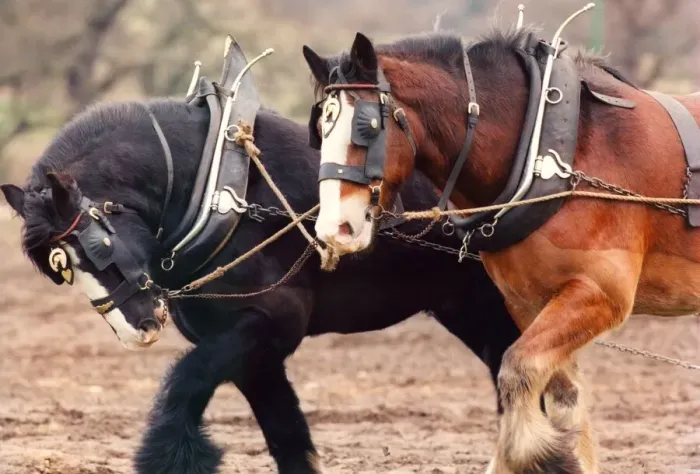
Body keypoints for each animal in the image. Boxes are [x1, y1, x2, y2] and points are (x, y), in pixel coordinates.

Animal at [1, 96, 522, 473]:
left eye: (98, 248)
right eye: (62, 271)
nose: (137, 331)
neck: (221, 192)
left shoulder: (270, 320)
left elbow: (185, 381)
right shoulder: (254, 352)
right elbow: (286, 436)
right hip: (468, 308)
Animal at [301, 23, 700, 474]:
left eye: (367, 127)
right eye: (320, 129)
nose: (335, 228)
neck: (557, 151)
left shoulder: (600, 295)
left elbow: (517, 370)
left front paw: (539, 454)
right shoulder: (528, 301)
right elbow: (562, 394)